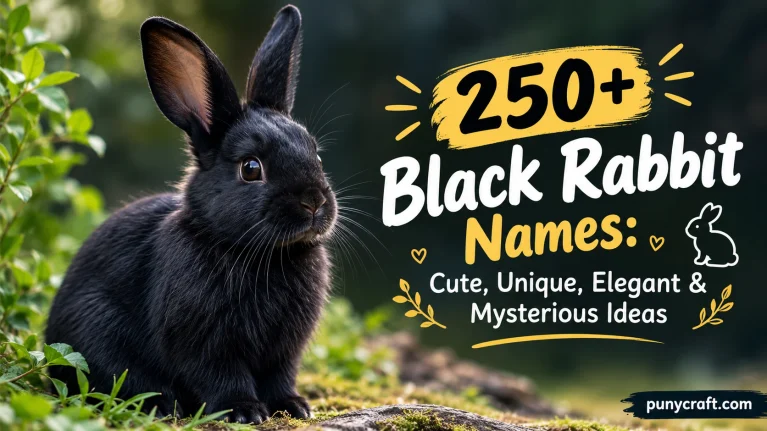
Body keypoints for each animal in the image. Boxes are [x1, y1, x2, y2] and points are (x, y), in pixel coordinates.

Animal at [45, 5, 337, 424]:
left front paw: (293, 406)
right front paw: (244, 411)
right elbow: (220, 376)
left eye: (316, 154)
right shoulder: (204, 342)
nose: (314, 202)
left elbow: (279, 378)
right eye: (251, 168)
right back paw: (161, 404)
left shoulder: (283, 351)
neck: (260, 253)